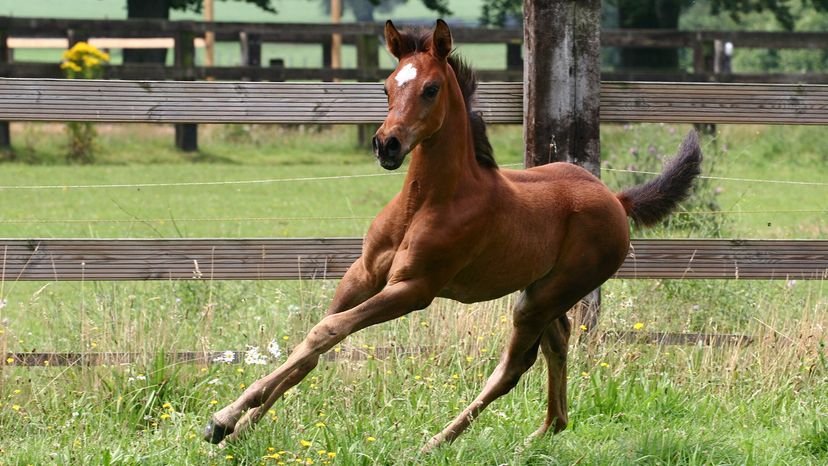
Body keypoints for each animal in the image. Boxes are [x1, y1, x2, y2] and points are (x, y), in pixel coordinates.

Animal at [204, 19, 702, 451]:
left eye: (431, 88)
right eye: (387, 86)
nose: (386, 145)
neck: (426, 201)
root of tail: (617, 201)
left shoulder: (413, 289)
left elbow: (326, 331)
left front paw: (224, 418)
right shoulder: (362, 275)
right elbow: (312, 345)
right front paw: (238, 428)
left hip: (544, 297)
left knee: (514, 367)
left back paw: (435, 442)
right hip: (542, 291)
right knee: (557, 346)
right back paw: (540, 435)